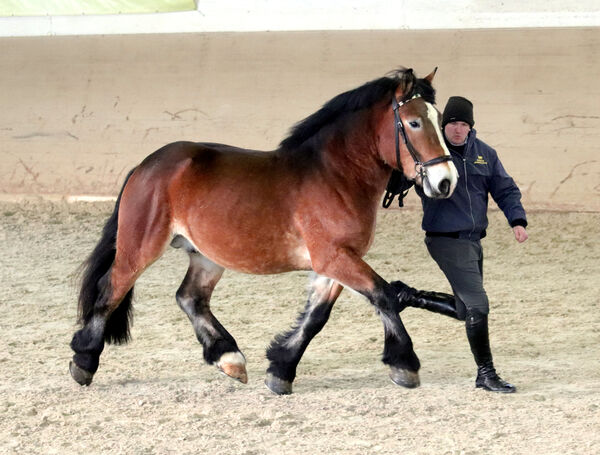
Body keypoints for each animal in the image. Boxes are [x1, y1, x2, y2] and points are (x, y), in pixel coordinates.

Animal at [68, 68, 458, 396]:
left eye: (438, 120)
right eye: (413, 122)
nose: (446, 181)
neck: (335, 176)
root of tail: (147, 164)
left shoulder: (334, 262)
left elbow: (316, 317)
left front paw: (281, 370)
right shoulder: (334, 257)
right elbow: (384, 295)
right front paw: (405, 365)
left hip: (207, 256)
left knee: (190, 297)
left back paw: (229, 358)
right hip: (140, 247)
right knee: (112, 289)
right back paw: (83, 362)